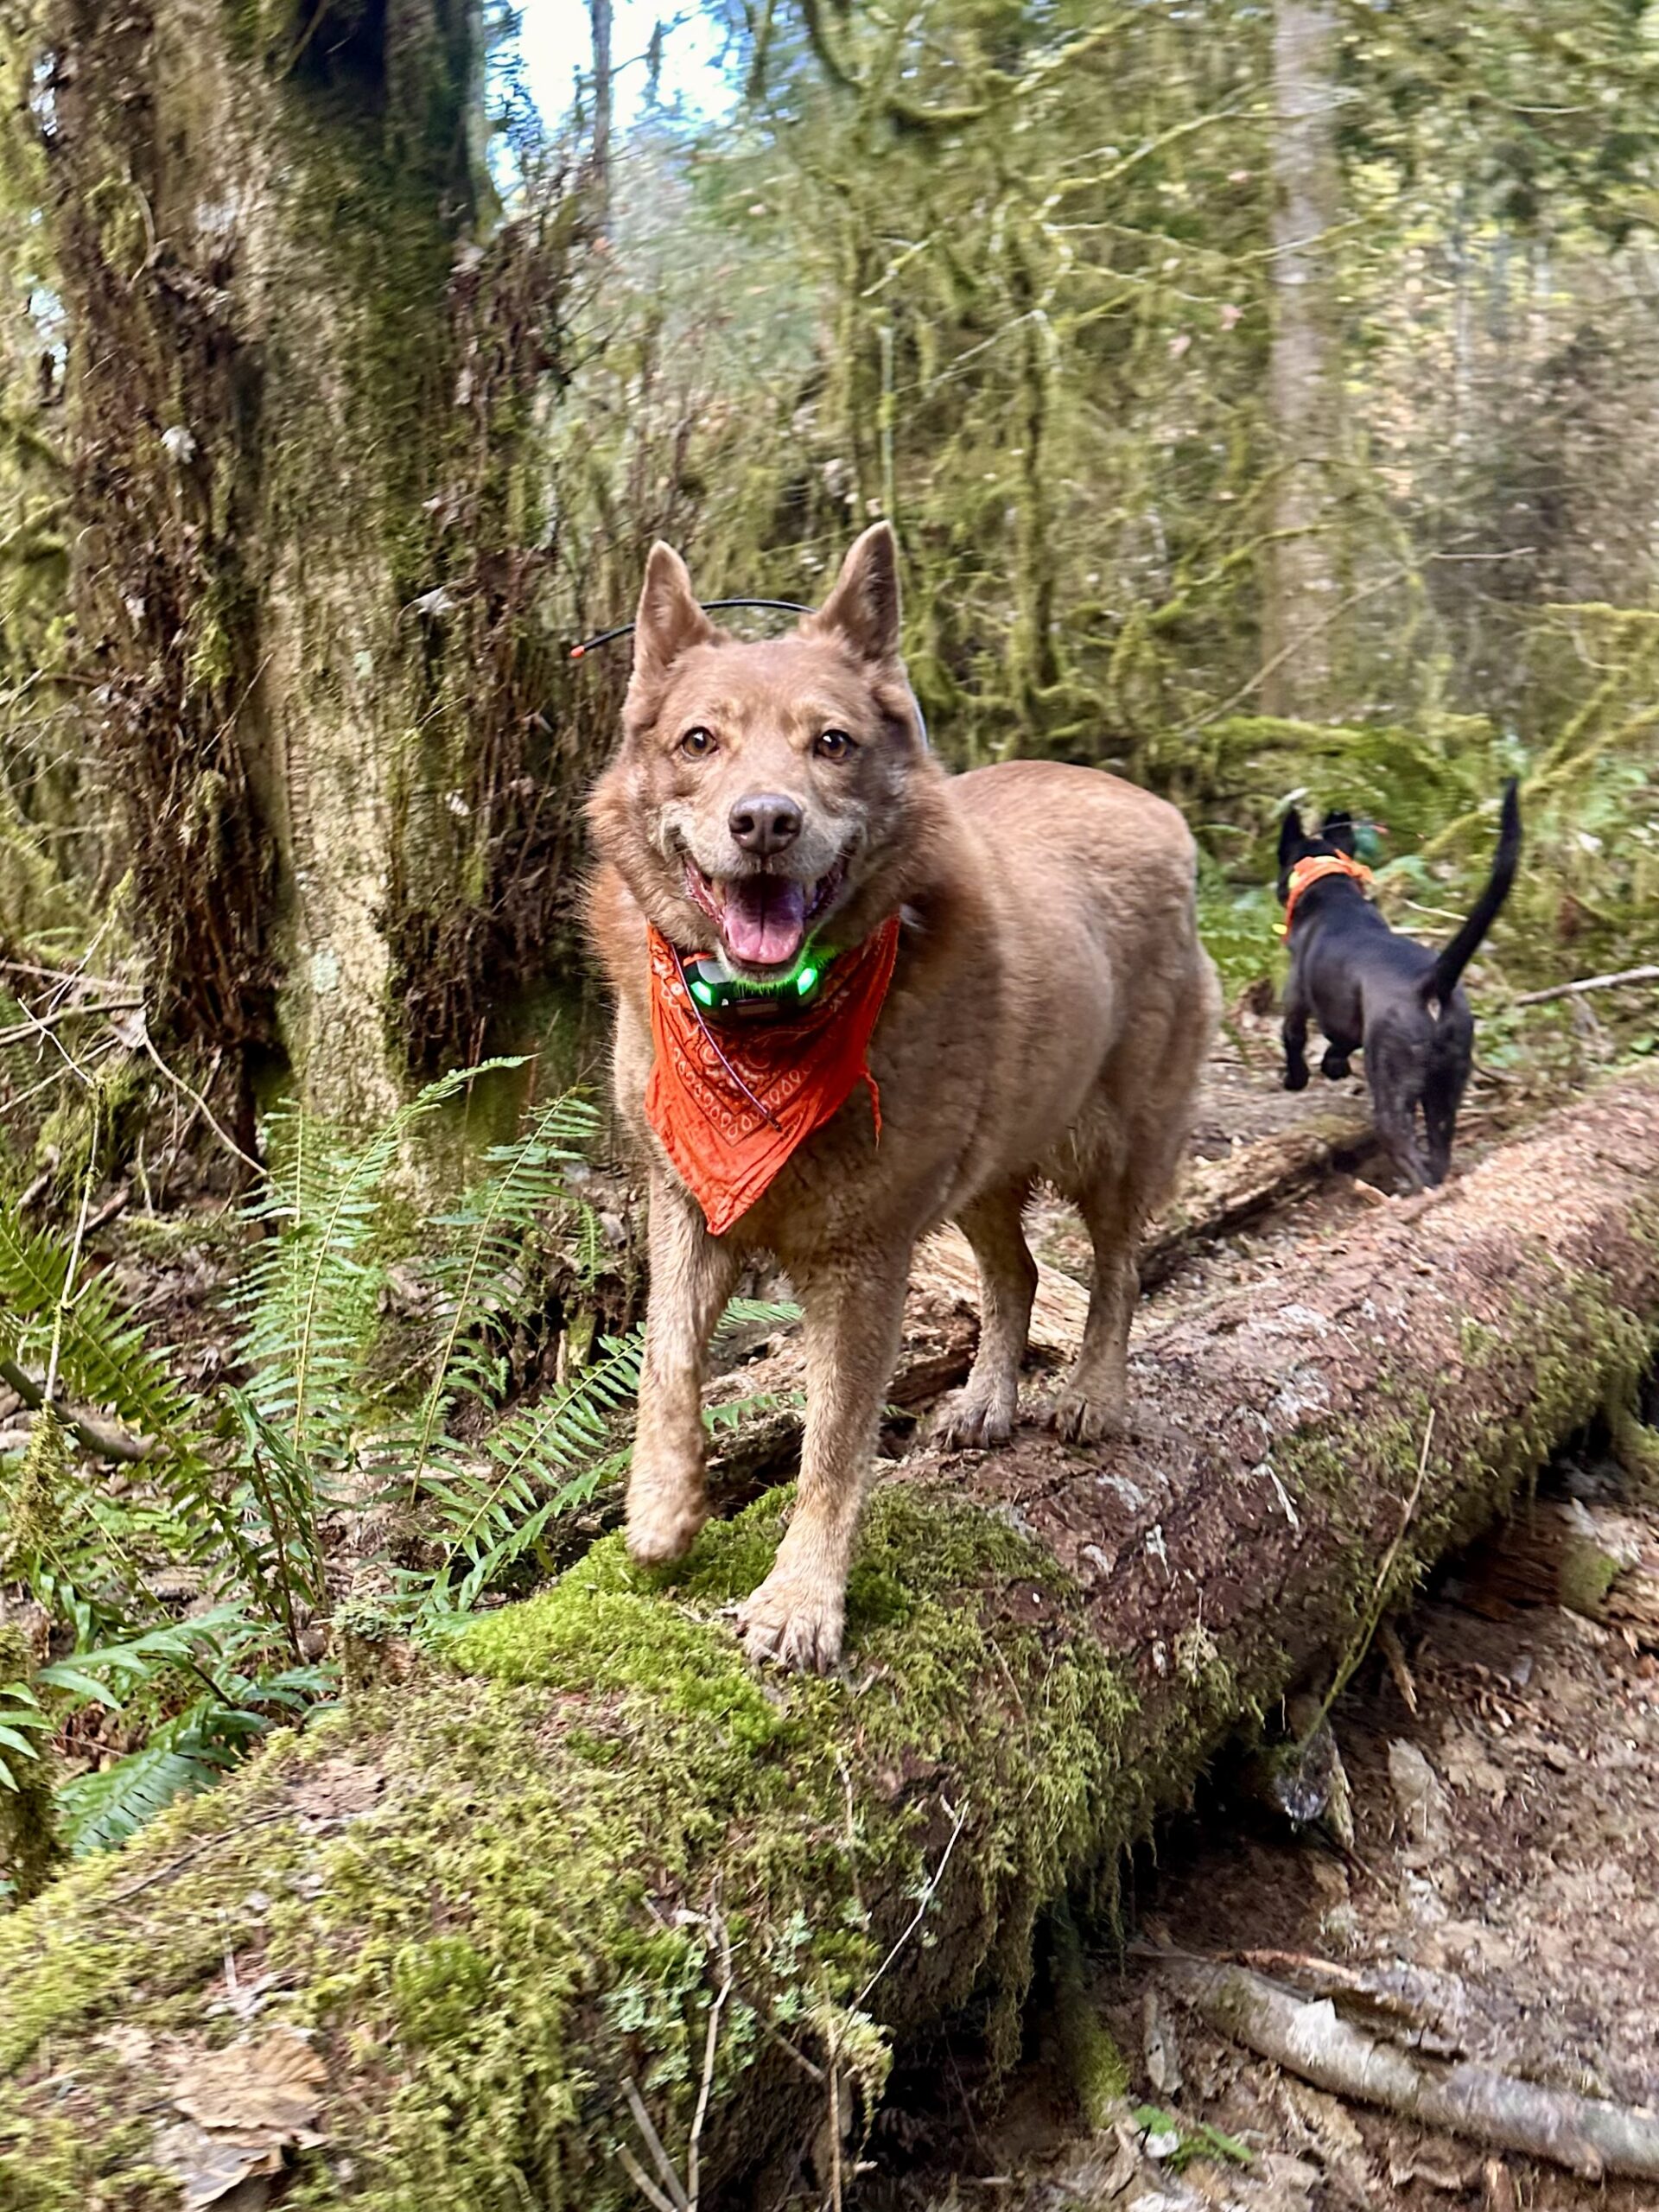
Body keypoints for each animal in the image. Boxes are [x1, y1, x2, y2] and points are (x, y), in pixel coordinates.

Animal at [588, 526, 1221, 1663]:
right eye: (700, 740)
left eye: (831, 743)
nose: (763, 821)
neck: (762, 1026)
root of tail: (1150, 804)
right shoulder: (686, 1198)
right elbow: (666, 1359)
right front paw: (661, 1511)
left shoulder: (864, 1262)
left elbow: (834, 1444)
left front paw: (800, 1601)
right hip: (982, 1169)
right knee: (1017, 1275)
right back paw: (984, 1401)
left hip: (1120, 1144)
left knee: (1116, 1270)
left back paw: (1093, 1393)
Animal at [1282, 783, 1530, 1194]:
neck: (1334, 896)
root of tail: (1431, 982)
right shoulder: (1348, 1015)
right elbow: (1342, 1040)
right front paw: (1333, 1065)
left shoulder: (1296, 997)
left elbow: (1293, 1038)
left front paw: (1296, 1078)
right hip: (1446, 1088)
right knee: (1439, 1154)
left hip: (1393, 1089)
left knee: (1405, 1148)